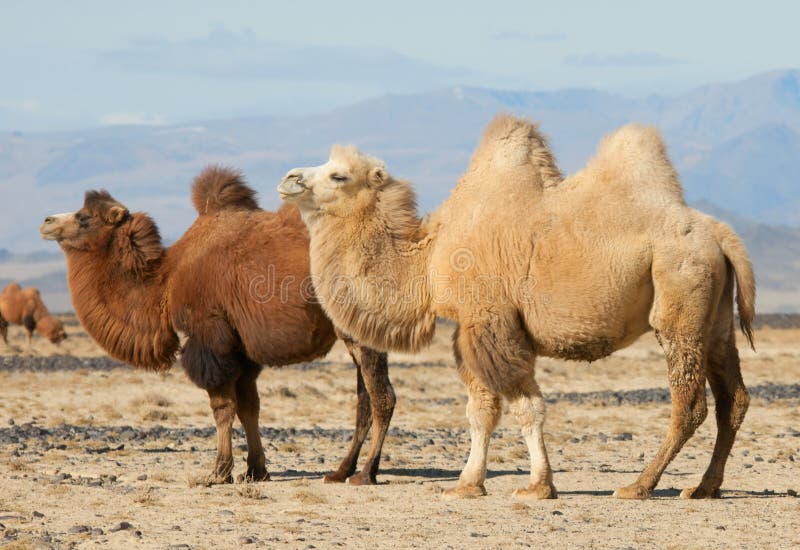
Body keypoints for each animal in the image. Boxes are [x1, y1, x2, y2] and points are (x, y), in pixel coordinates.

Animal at [40, 166, 396, 486]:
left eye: (84, 218)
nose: (46, 221)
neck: (166, 280)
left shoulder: (210, 336)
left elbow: (223, 407)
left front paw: (218, 472)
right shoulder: (241, 347)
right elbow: (250, 406)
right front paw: (255, 470)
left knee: (382, 397)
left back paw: (365, 474)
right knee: (365, 399)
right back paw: (340, 471)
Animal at [280, 114, 756, 502]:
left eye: (338, 175)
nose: (289, 178)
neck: (428, 259)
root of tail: (719, 233)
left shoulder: (491, 321)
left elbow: (523, 407)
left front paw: (536, 486)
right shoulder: (471, 329)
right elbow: (482, 411)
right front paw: (470, 483)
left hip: (679, 298)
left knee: (689, 402)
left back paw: (639, 485)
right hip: (715, 320)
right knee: (734, 399)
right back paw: (704, 487)